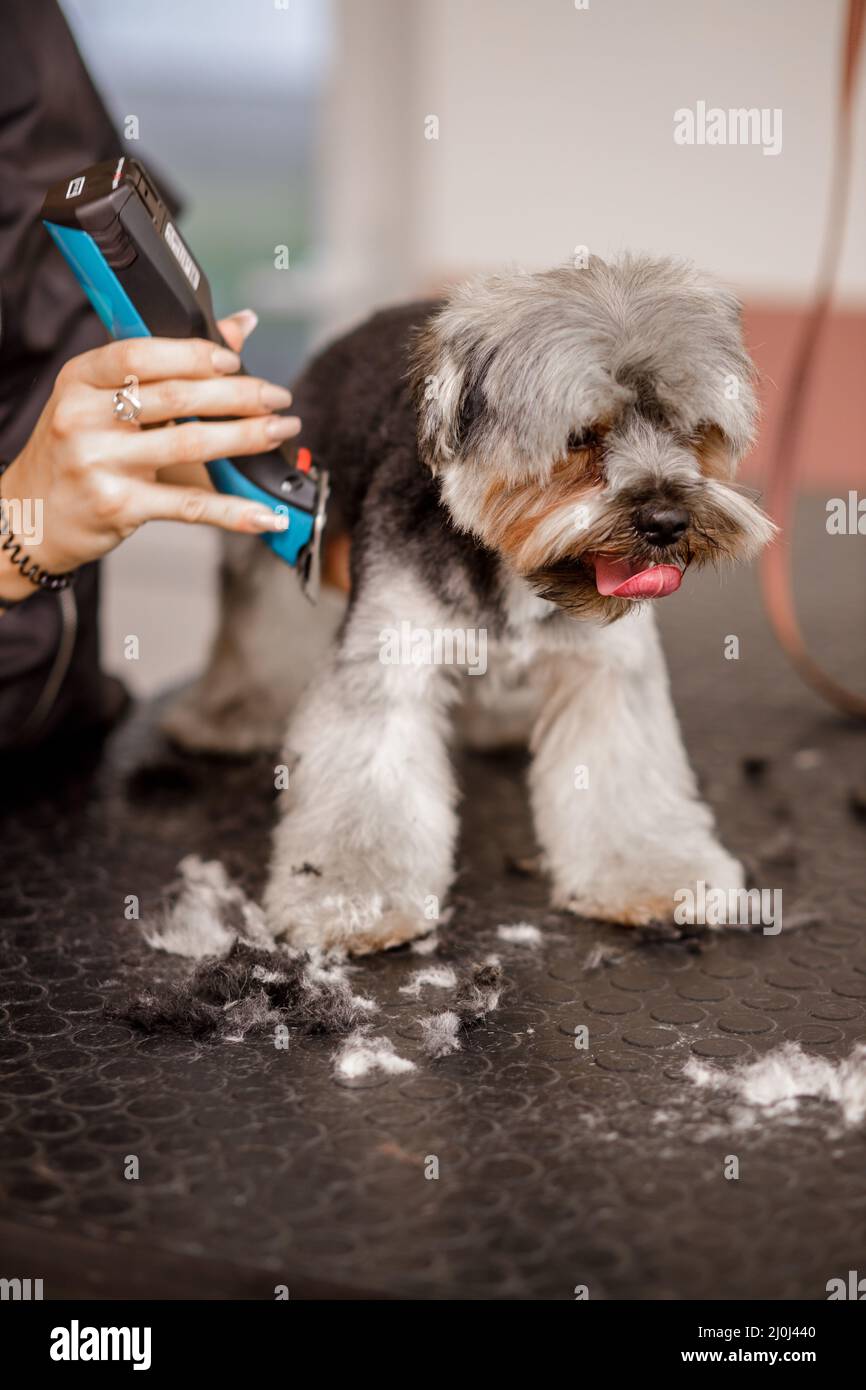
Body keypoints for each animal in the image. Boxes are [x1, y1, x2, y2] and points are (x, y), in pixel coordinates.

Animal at [166, 255, 778, 956]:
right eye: (580, 438)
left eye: (692, 430)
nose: (666, 521)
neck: (513, 567)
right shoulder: (391, 655)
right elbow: (368, 779)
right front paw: (351, 899)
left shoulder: (606, 668)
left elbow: (622, 773)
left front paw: (651, 874)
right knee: (262, 623)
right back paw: (230, 714)